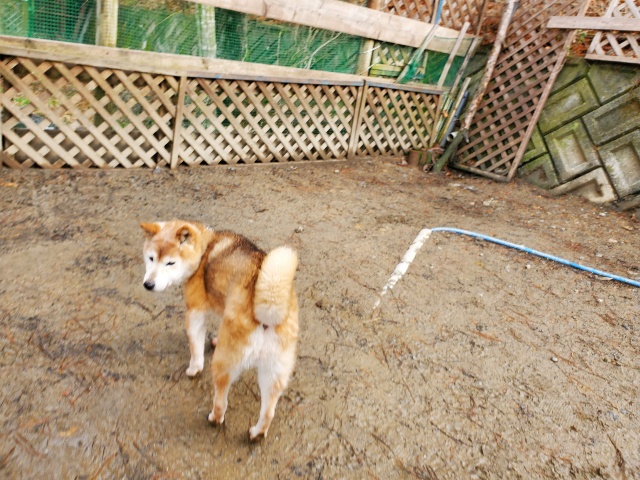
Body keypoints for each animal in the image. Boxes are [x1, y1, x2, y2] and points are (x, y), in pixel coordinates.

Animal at [140, 220, 299, 440]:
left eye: (170, 263)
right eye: (151, 258)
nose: (148, 284)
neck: (205, 247)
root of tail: (268, 314)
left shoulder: (195, 311)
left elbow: (195, 346)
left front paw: (194, 368)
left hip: (224, 364)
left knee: (222, 401)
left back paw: (215, 418)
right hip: (274, 373)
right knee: (268, 412)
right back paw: (256, 433)